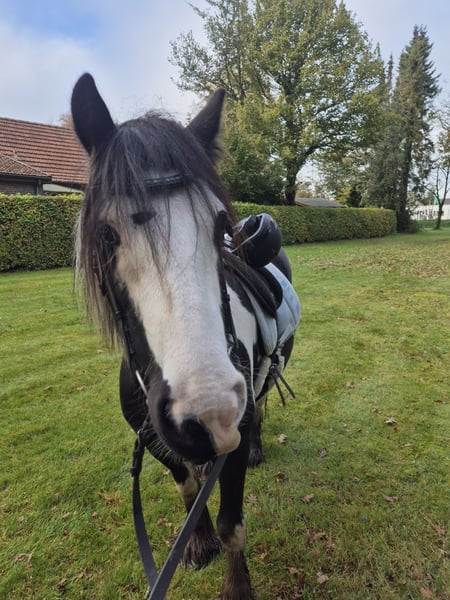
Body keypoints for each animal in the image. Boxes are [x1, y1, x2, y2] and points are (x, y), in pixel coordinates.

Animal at [71, 73, 299, 599]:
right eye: (107, 235)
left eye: (219, 226)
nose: (209, 413)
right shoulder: (155, 439)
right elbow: (187, 487)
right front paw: (197, 543)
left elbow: (234, 524)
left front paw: (236, 586)